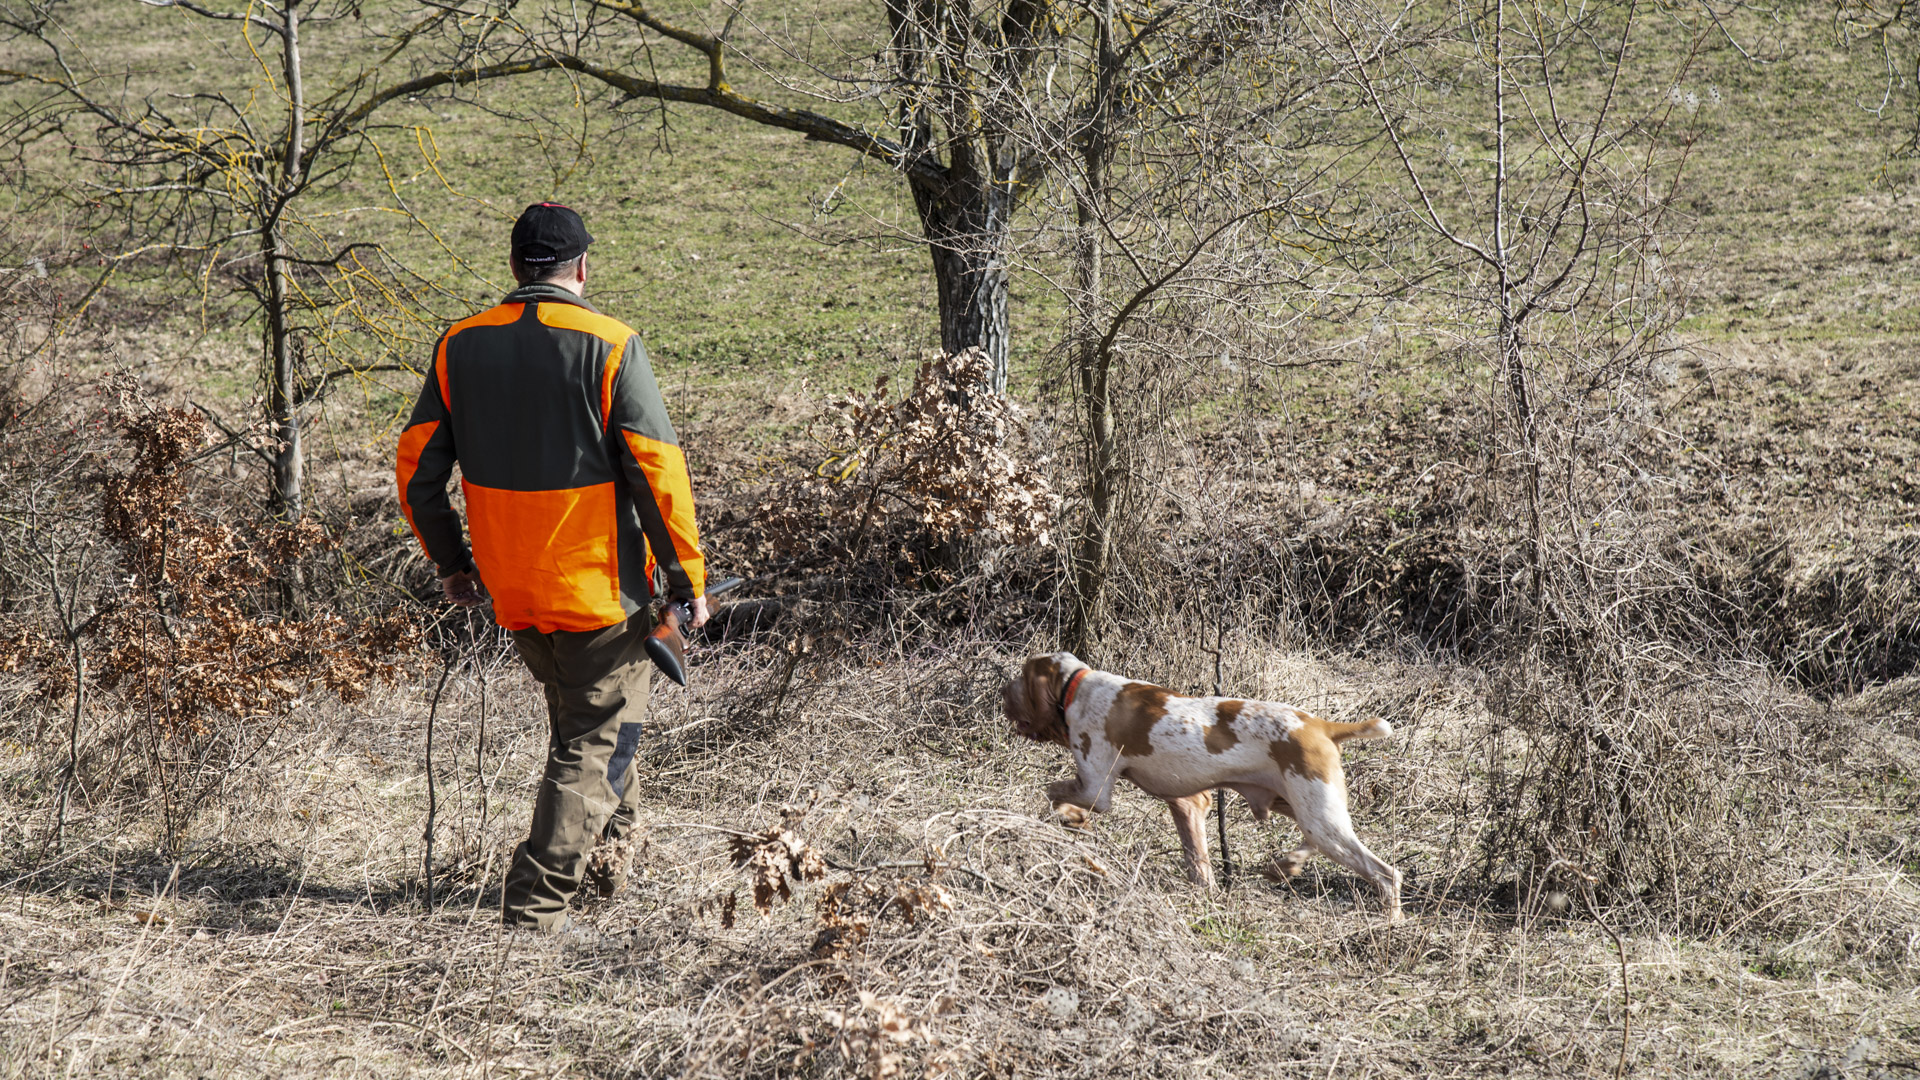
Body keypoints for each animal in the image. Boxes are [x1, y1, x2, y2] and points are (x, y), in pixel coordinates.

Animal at [1013, 645, 1405, 914]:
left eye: (1020, 677)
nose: (1003, 689)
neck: (1077, 685)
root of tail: (1322, 725)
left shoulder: (1095, 789)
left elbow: (1052, 792)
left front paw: (1068, 816)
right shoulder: (1187, 802)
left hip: (1321, 817)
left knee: (1386, 874)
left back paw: (1390, 923)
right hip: (1301, 807)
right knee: (1317, 844)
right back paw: (1286, 865)